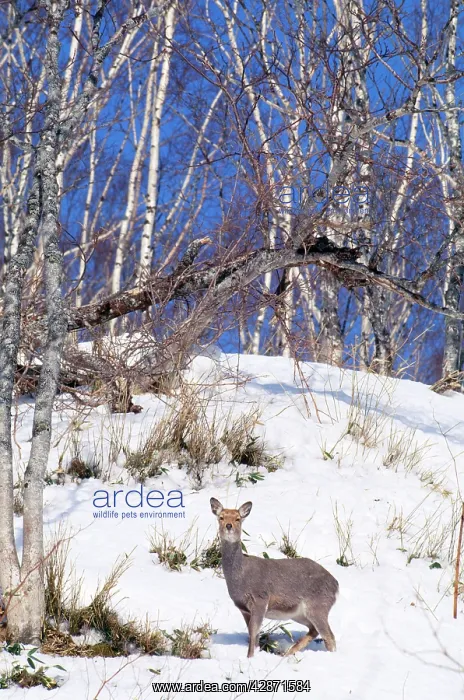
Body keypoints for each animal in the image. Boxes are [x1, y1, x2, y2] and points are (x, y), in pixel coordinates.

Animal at [210, 497, 339, 658]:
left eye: (238, 518)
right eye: (221, 517)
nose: (228, 526)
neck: (241, 577)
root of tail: (336, 585)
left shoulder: (260, 599)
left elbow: (253, 631)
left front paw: (250, 657)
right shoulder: (243, 608)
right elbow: (253, 634)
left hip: (318, 605)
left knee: (329, 636)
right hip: (299, 613)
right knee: (314, 630)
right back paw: (289, 653)